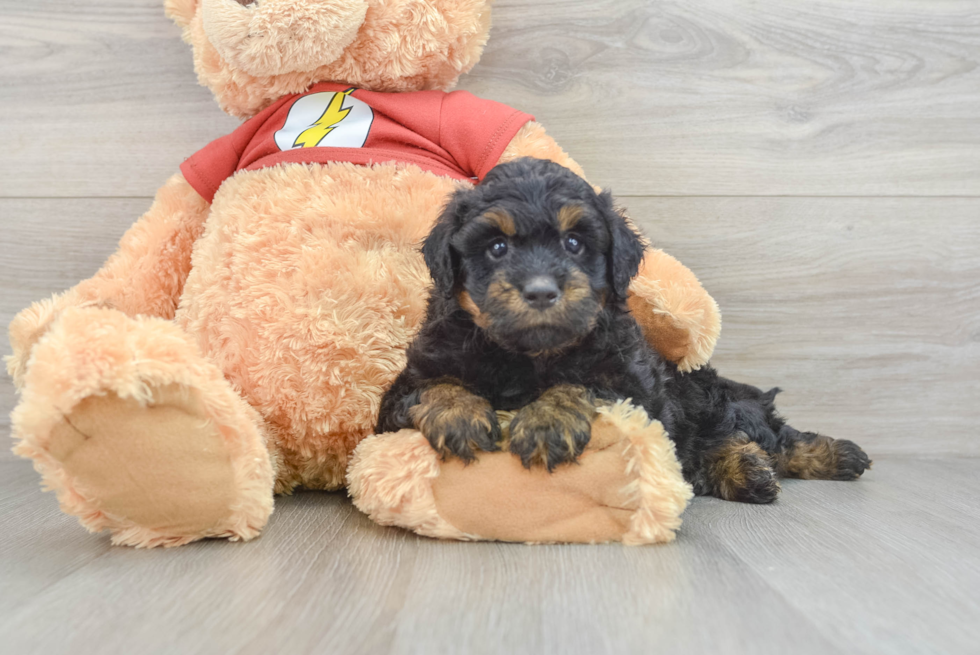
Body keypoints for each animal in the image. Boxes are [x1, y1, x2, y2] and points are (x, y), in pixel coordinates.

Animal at [378, 158, 872, 502]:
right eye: (497, 247)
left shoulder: (635, 387)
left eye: (574, 243)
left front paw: (547, 419)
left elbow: (583, 385)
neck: (527, 356)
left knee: (770, 435)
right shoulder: (402, 390)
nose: (540, 292)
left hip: (709, 400)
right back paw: (744, 471)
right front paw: (458, 413)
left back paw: (825, 456)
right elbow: (432, 386)